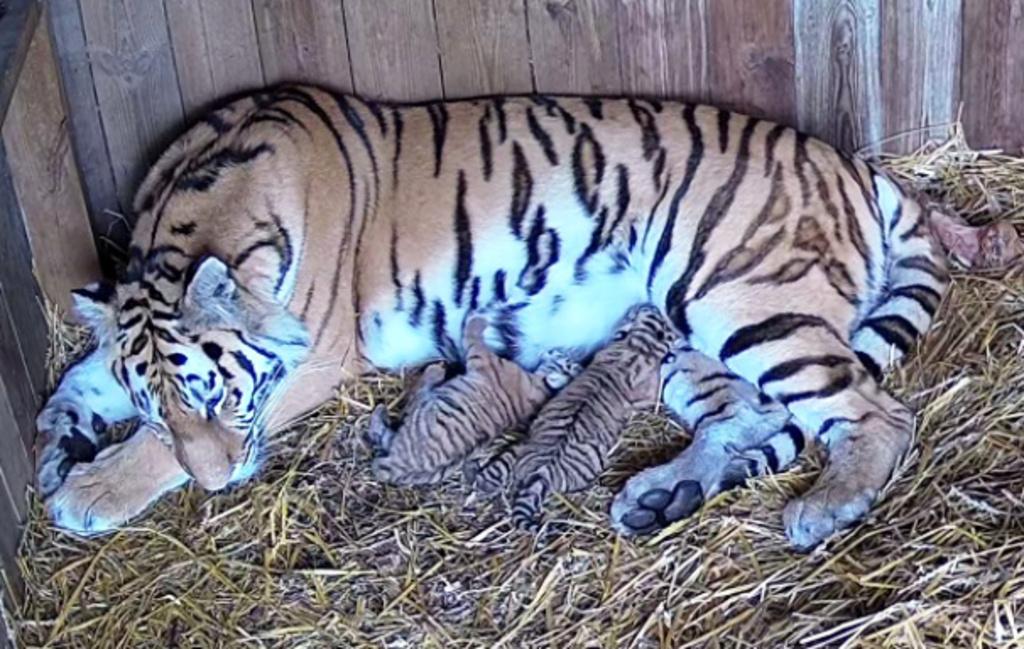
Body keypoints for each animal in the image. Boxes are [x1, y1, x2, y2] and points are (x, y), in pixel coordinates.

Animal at [36, 80, 1003, 544]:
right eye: (169, 397)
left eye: (217, 396)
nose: (216, 486)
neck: (193, 210)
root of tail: (856, 166)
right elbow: (93, 379)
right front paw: (58, 434)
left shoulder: (314, 355)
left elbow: (150, 448)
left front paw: (88, 488)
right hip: (693, 338)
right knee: (748, 417)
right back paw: (664, 492)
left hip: (739, 297)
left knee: (877, 415)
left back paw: (823, 509)